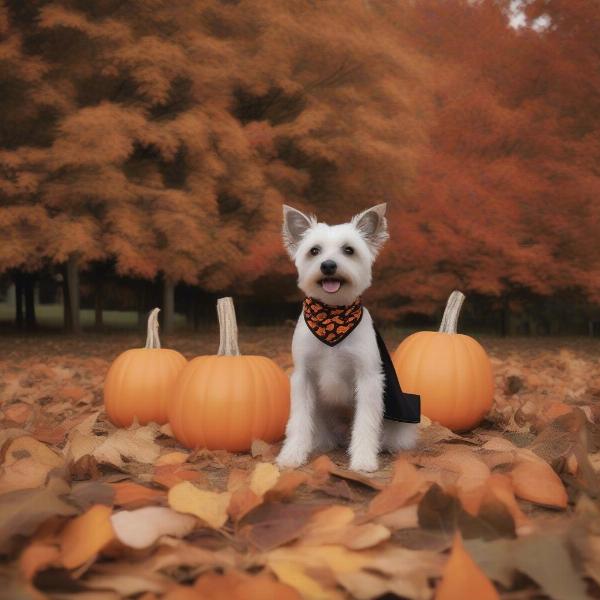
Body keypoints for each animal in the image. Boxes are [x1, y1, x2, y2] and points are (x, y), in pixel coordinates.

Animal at [276, 204, 418, 472]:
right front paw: (292, 455)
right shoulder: (303, 377)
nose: (328, 265)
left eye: (349, 250)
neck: (332, 314)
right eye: (314, 251)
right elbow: (299, 420)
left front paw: (363, 459)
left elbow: (365, 422)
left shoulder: (368, 378)